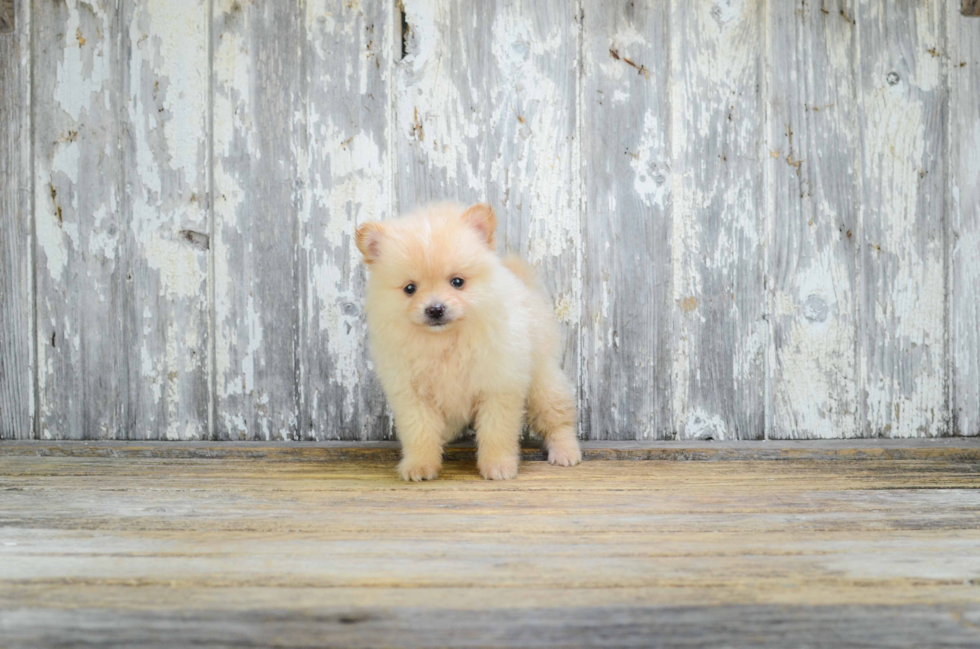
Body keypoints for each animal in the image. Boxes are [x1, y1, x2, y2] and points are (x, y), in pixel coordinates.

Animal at [354, 202, 580, 480]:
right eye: (409, 289)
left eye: (457, 282)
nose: (435, 309)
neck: (444, 340)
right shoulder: (413, 393)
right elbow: (419, 432)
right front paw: (420, 465)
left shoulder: (498, 387)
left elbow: (497, 431)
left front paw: (498, 465)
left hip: (542, 382)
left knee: (559, 419)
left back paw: (566, 451)